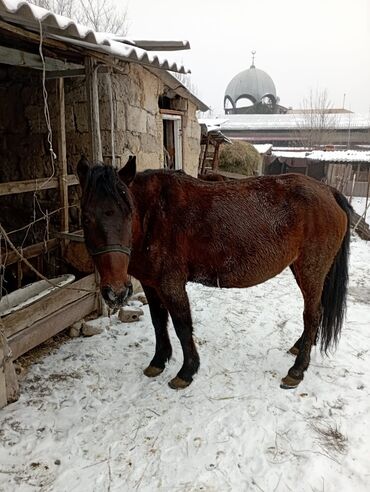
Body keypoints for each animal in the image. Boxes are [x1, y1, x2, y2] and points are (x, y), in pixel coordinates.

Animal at [77, 158, 350, 392]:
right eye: (86, 218)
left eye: (128, 213)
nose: (116, 292)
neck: (154, 216)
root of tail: (328, 191)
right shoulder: (150, 284)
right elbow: (158, 322)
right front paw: (158, 361)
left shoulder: (171, 284)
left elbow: (182, 325)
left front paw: (186, 372)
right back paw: (300, 347)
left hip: (311, 270)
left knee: (312, 315)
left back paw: (297, 370)